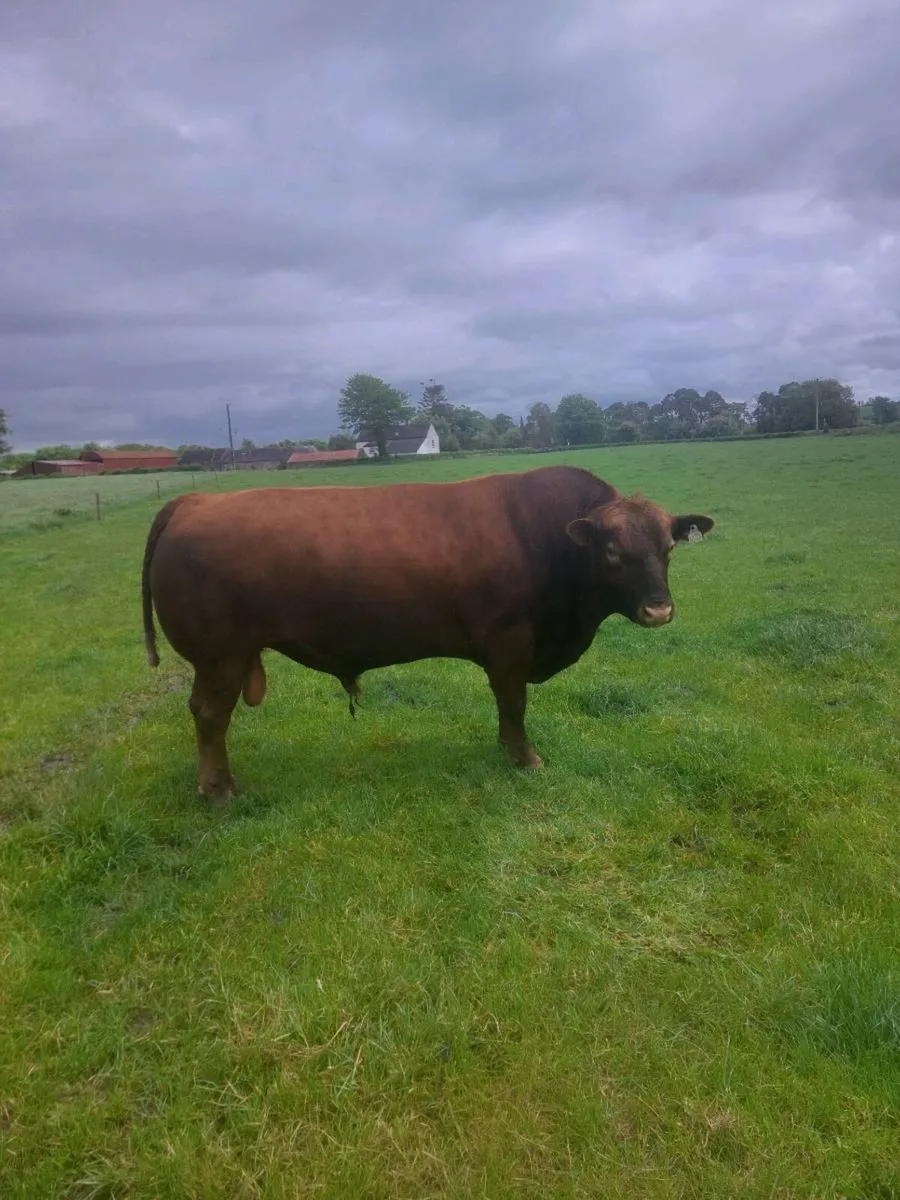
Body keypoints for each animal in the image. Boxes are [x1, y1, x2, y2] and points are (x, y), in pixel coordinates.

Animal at [141, 465, 714, 804]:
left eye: (668, 547)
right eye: (612, 552)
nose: (659, 609)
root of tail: (193, 501)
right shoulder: (510, 643)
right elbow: (513, 702)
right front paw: (523, 757)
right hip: (218, 656)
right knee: (210, 715)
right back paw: (218, 790)